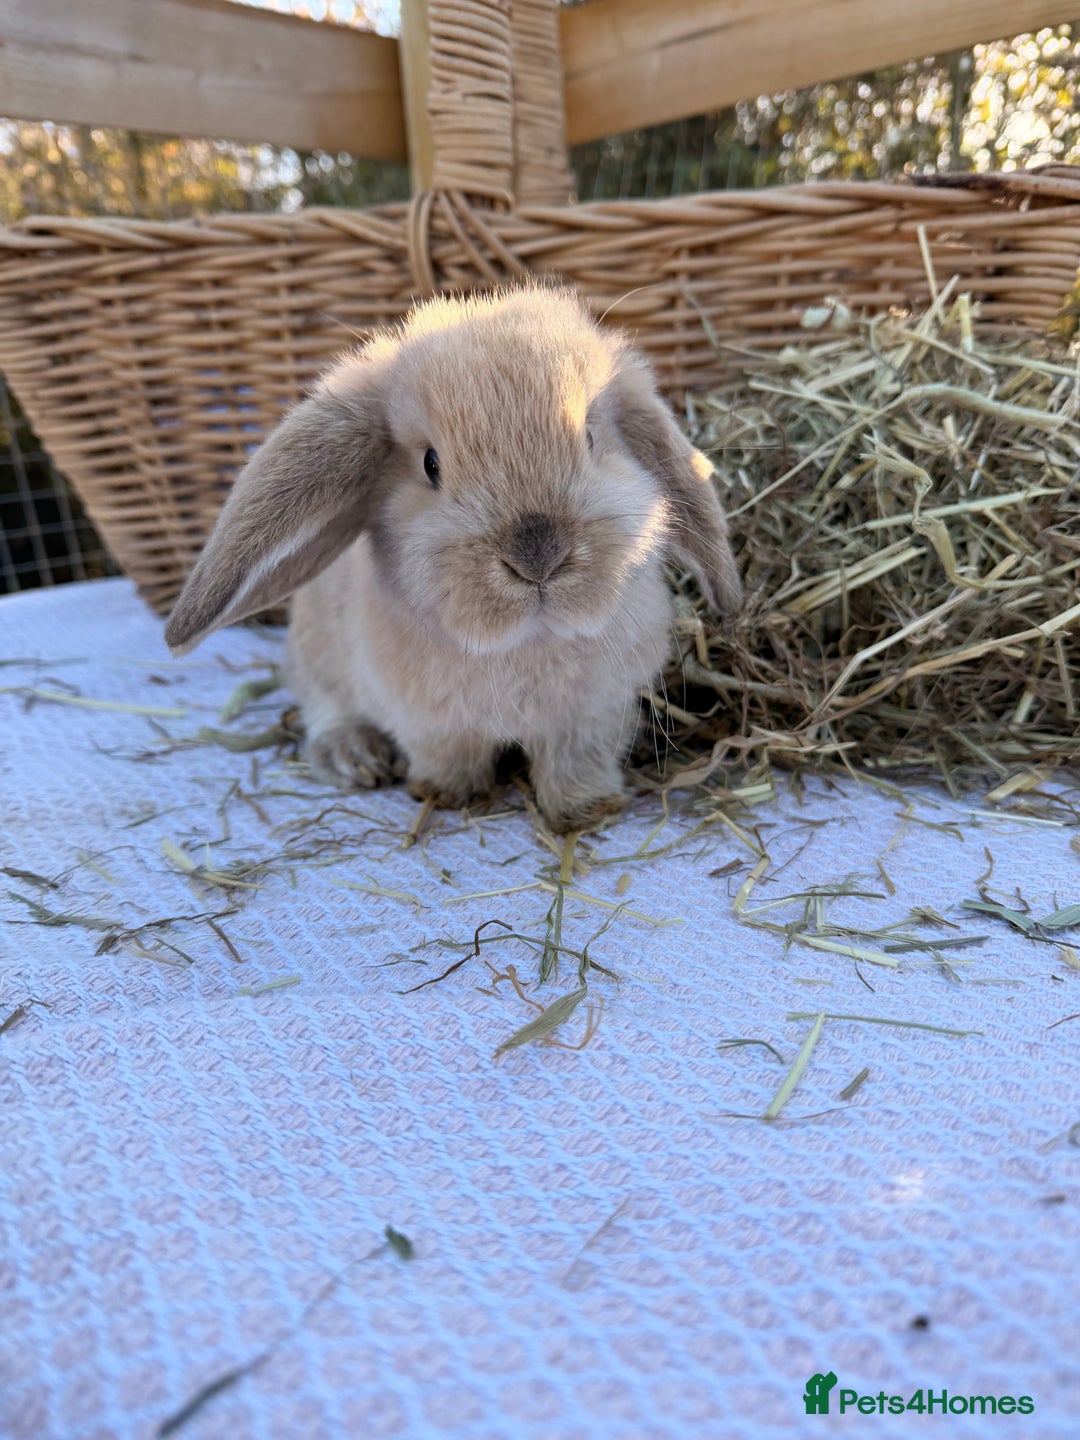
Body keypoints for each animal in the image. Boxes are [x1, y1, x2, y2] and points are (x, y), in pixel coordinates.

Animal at [165, 286, 742, 833]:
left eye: (591, 437)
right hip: (316, 658)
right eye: (431, 464)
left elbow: (575, 766)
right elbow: (449, 757)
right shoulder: (430, 725)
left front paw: (587, 810)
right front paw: (448, 794)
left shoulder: (592, 717)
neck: (525, 642)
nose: (538, 555)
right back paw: (358, 758)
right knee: (323, 708)